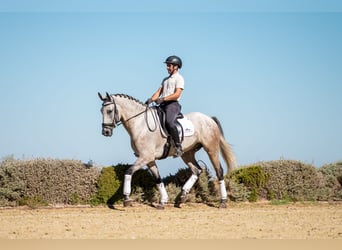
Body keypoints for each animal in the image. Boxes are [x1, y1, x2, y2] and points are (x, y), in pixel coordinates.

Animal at [97, 92, 236, 209]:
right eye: (101, 111)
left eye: (109, 111)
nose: (106, 132)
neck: (140, 124)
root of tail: (209, 119)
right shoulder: (149, 159)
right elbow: (158, 179)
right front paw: (163, 201)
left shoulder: (145, 157)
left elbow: (128, 171)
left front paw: (126, 198)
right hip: (187, 153)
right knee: (197, 170)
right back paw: (181, 197)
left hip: (211, 149)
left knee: (219, 171)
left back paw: (223, 202)